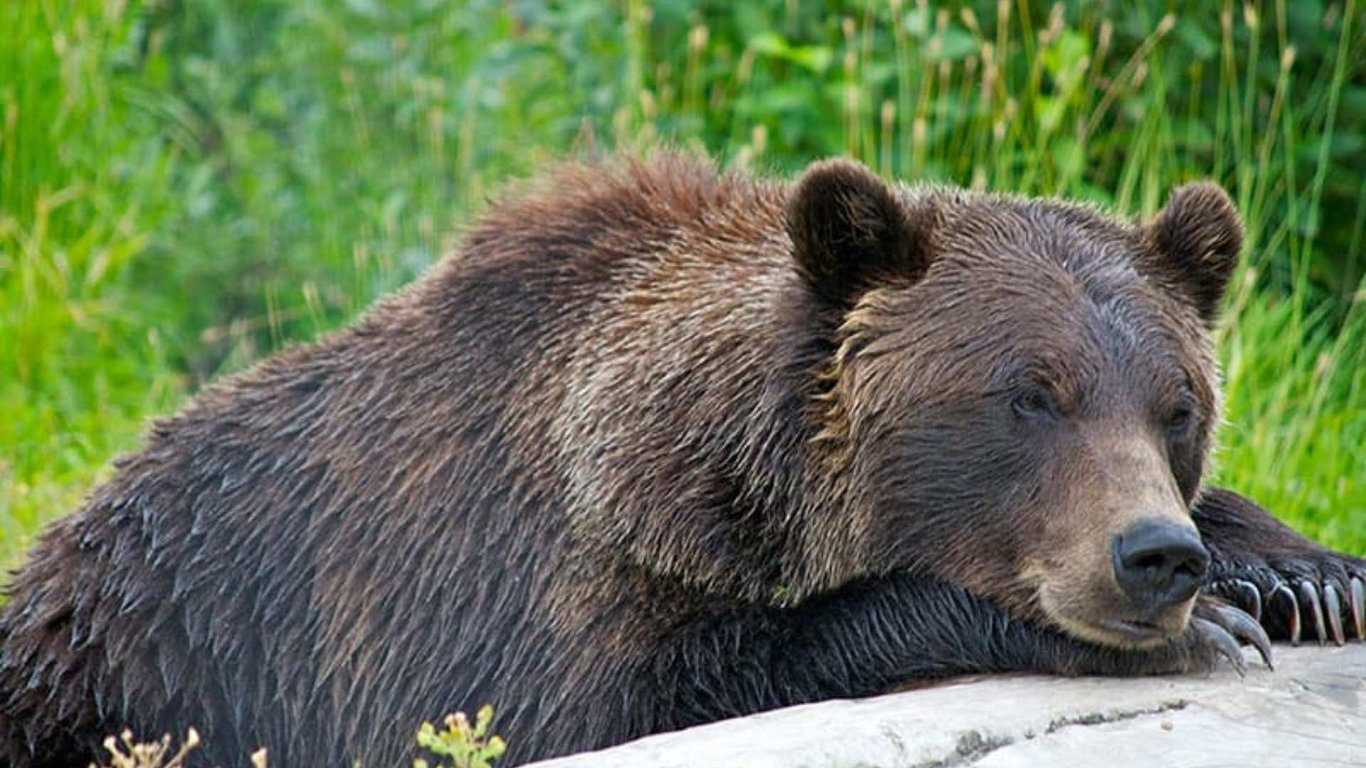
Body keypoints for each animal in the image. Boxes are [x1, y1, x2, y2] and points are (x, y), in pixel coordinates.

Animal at [2, 152, 1366, 759]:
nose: (1154, 558)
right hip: (132, 657)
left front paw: (1302, 575)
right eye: (1029, 395)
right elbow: (658, 680)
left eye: (1175, 406)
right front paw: (1208, 625)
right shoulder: (496, 601)